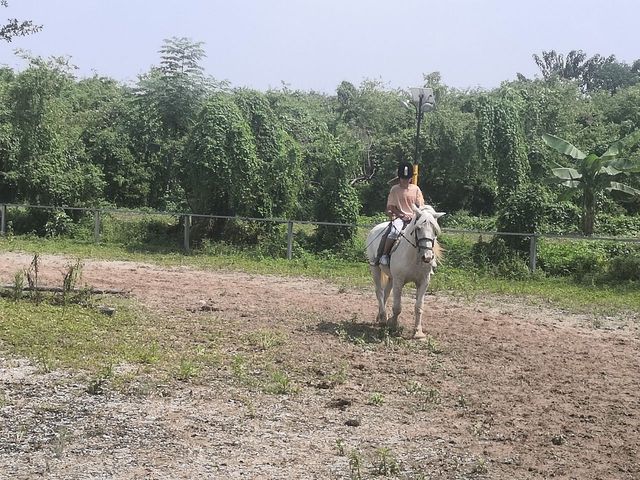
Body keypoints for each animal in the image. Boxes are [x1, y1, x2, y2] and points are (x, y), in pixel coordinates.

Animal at [365, 204, 444, 340]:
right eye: (418, 228)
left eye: (435, 230)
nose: (427, 257)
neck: (413, 256)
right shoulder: (399, 280)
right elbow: (397, 307)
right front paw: (393, 326)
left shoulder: (424, 282)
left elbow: (419, 307)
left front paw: (418, 332)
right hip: (375, 269)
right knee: (379, 291)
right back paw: (383, 318)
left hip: (391, 277)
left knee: (386, 292)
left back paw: (381, 316)